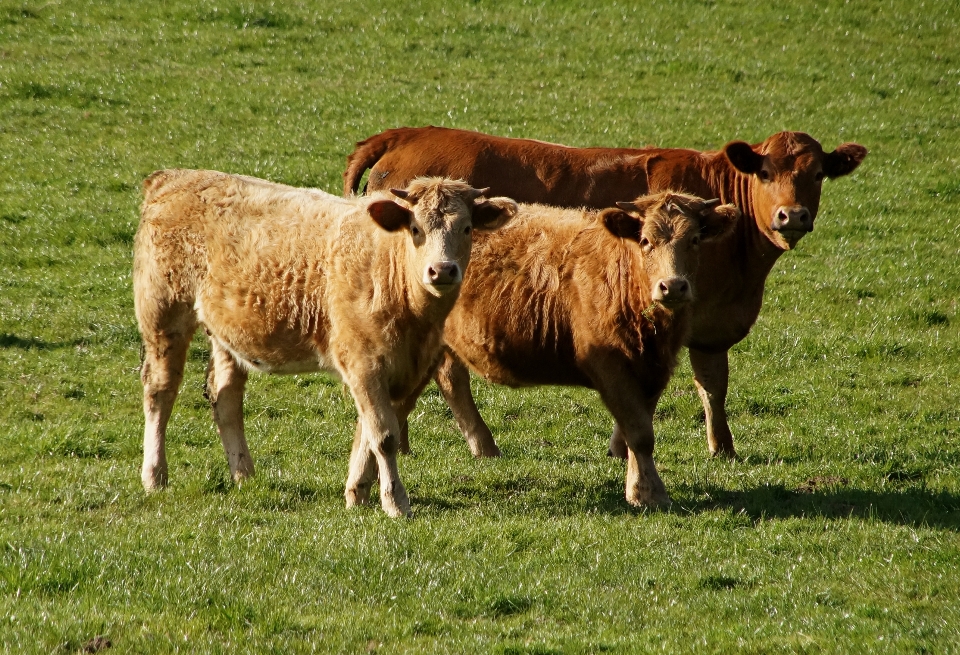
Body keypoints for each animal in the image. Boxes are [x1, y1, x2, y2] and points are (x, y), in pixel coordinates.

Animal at [135, 172, 516, 520]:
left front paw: (358, 492)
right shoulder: (363, 362)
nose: (442, 270)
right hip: (163, 314)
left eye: (466, 228)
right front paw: (395, 501)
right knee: (160, 391)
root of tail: (172, 177)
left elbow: (371, 433)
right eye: (415, 228)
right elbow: (384, 436)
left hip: (226, 333)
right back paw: (155, 476)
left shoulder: (409, 371)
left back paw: (244, 474)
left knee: (225, 395)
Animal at [342, 125, 868, 458]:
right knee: (448, 374)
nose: (792, 215)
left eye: (817, 174)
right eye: (765, 173)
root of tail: (406, 134)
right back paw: (463, 444)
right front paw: (629, 446)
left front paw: (722, 447)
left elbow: (712, 384)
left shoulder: (707, 325)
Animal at [432, 191, 740, 508]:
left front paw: (637, 486)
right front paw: (648, 493)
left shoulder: (654, 370)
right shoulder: (610, 366)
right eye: (645, 241)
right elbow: (639, 433)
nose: (674, 286)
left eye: (694, 239)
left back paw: (482, 447)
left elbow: (640, 428)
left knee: (451, 379)